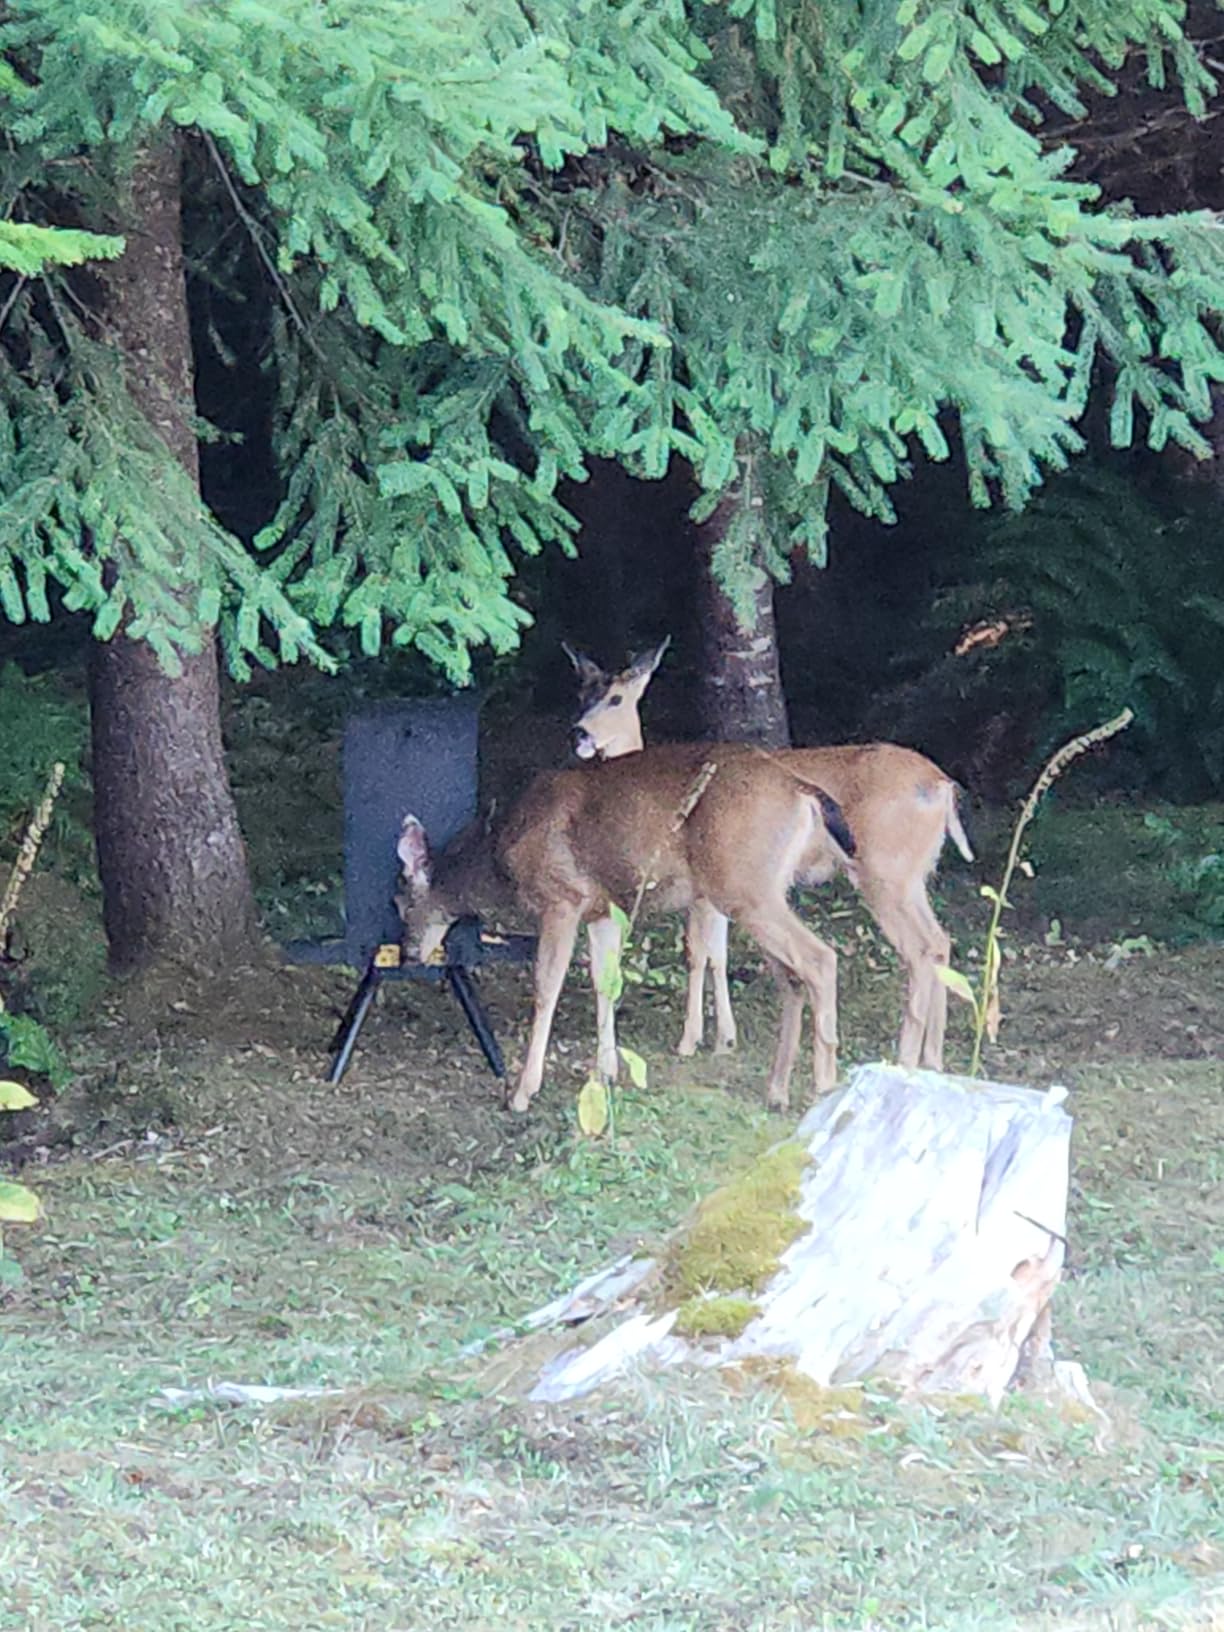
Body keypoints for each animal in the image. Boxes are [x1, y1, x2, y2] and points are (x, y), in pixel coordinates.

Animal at [396, 743, 856, 1114]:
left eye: (400, 905)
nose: (406, 952)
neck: (499, 857)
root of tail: (802, 791)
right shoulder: (603, 908)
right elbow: (605, 981)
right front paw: (607, 1070)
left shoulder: (562, 898)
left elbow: (546, 987)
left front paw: (523, 1092)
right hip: (756, 888)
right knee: (791, 979)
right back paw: (777, 1091)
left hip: (744, 885)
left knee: (820, 958)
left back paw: (823, 1087)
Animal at [563, 638, 974, 1073]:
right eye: (580, 694)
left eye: (616, 698)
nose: (579, 733)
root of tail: (941, 785)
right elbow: (717, 952)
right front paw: (723, 1038)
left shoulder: (705, 890)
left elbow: (699, 952)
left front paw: (692, 1041)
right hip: (914, 874)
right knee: (939, 940)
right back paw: (932, 1057)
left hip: (883, 871)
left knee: (919, 949)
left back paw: (905, 1057)